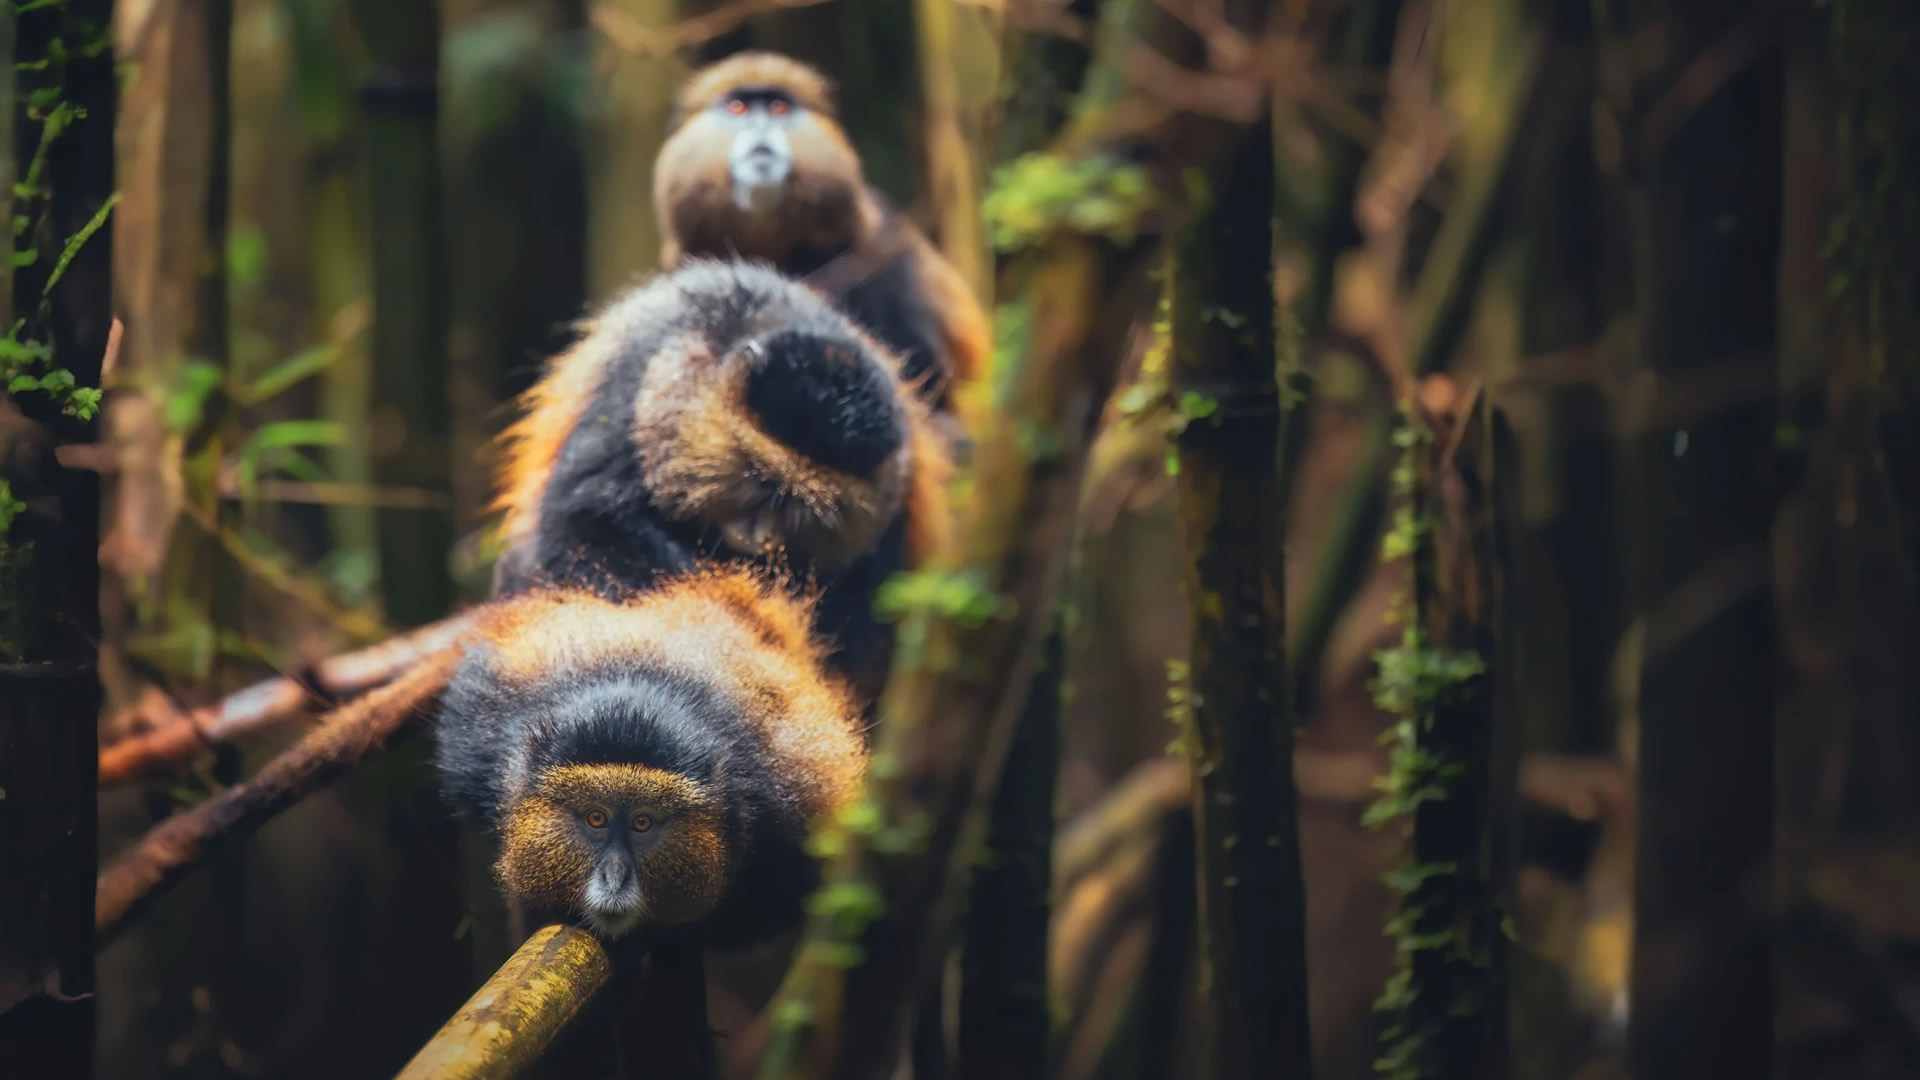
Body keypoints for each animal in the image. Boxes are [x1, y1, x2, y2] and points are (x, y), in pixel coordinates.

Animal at [487, 259, 952, 706]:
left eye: (803, 510)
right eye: (760, 480)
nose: (759, 537)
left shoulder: (896, 495)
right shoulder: (637, 382)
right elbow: (582, 523)